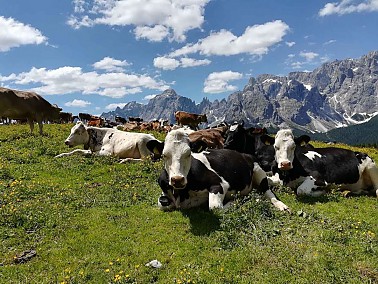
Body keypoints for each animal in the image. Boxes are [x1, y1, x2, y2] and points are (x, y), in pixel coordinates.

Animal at [146, 129, 288, 211]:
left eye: (188, 153)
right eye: (165, 155)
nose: (177, 179)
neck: (181, 194)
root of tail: (244, 153)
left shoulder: (219, 183)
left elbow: (215, 207)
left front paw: (237, 200)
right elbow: (161, 203)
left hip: (259, 172)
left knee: (267, 191)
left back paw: (282, 206)